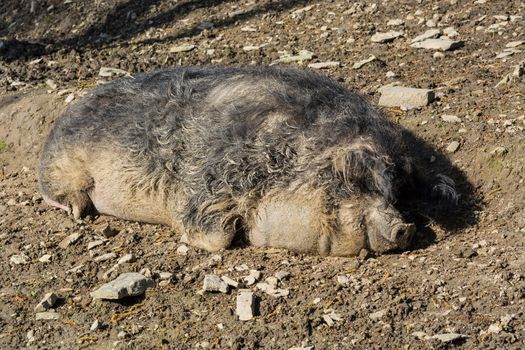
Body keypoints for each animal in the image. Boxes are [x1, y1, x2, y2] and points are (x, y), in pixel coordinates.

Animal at [37, 66, 454, 258]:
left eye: (397, 194)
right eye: (356, 181)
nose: (405, 227)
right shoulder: (208, 178)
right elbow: (212, 234)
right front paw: (224, 234)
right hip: (62, 164)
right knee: (55, 190)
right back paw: (79, 211)